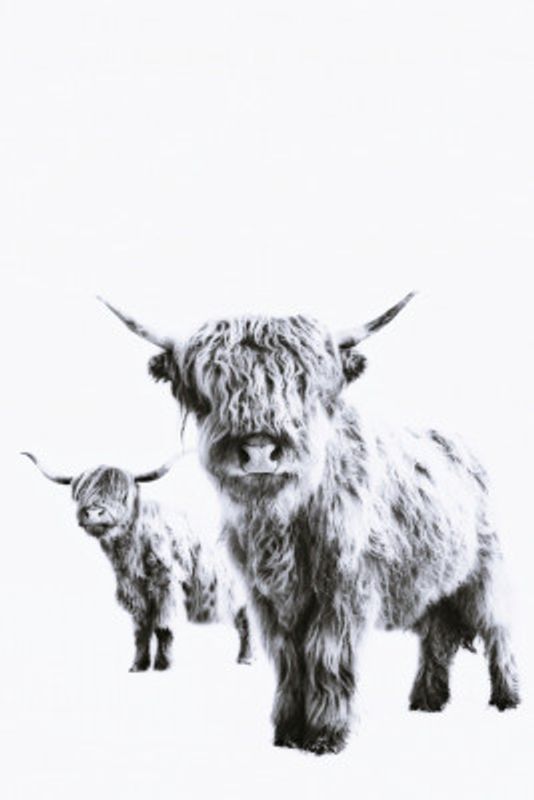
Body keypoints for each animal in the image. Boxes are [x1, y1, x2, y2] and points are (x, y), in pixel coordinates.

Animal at [22, 452, 253, 671]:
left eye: (122, 494)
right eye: (81, 493)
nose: (94, 513)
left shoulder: (166, 587)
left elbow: (162, 627)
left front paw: (163, 665)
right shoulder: (134, 591)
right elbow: (141, 631)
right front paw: (138, 665)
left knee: (245, 621)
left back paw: (246, 658)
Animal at [100, 293, 520, 753]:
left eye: (301, 386)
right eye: (213, 387)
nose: (260, 451)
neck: (280, 524)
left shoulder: (343, 588)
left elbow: (326, 653)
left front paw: (325, 736)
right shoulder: (267, 597)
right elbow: (288, 658)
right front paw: (287, 732)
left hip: (485, 574)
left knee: (498, 631)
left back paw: (507, 698)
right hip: (432, 581)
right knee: (436, 637)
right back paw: (427, 699)